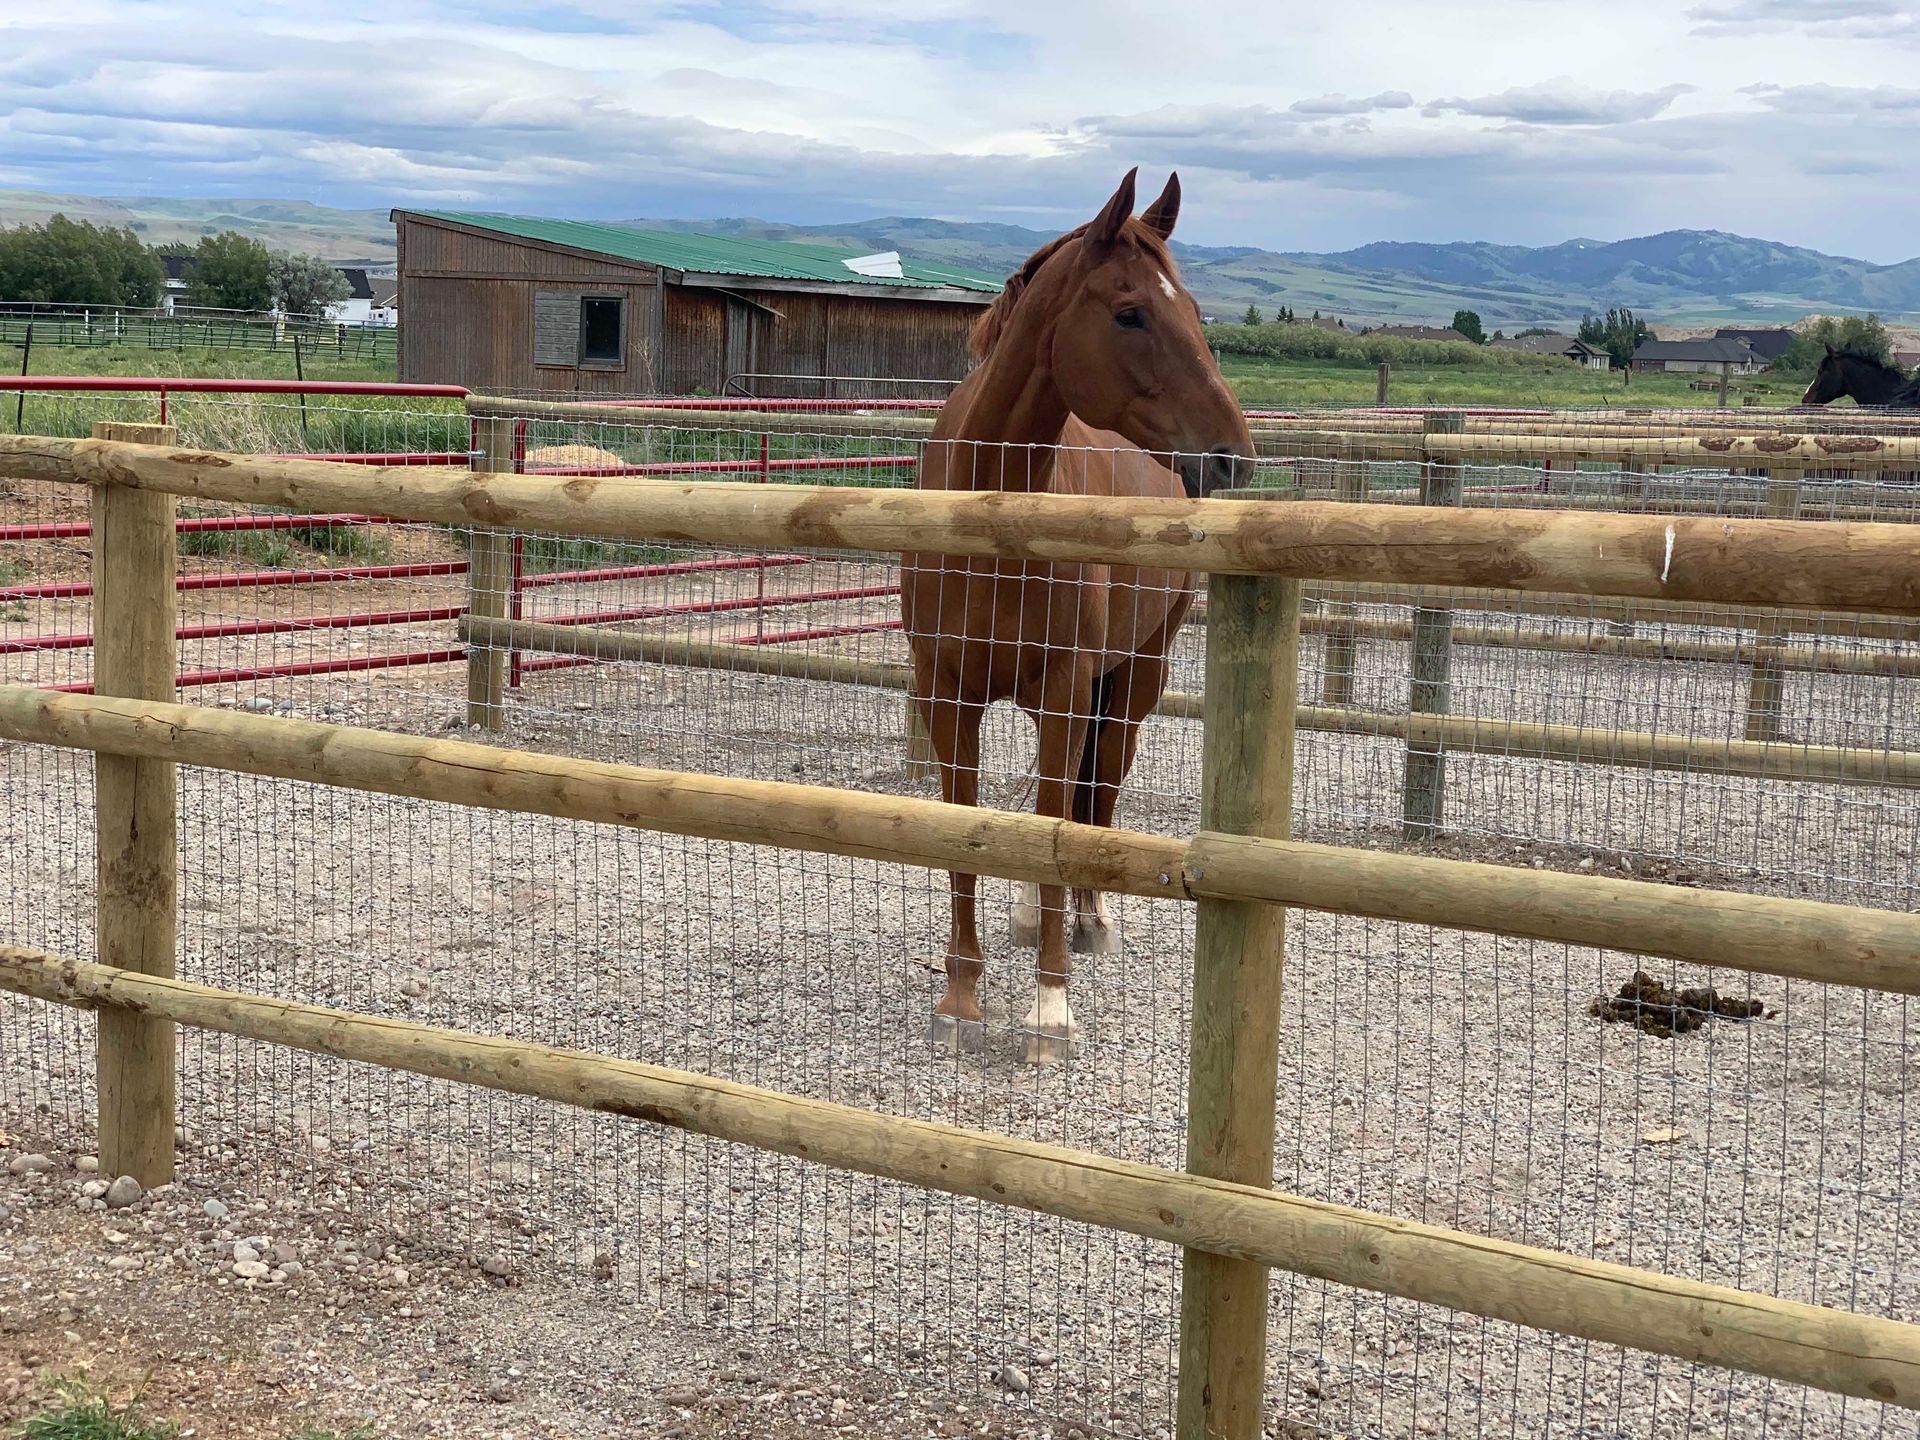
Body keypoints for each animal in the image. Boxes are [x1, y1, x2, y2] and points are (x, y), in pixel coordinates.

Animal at [900, 168, 1255, 1065]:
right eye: (1131, 312)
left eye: (1196, 311)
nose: (1232, 457)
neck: (992, 514)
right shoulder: (947, 694)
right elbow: (964, 835)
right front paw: (960, 998)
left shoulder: (1067, 688)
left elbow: (1059, 826)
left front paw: (1050, 1010)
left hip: (1135, 678)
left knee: (1098, 790)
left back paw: (1090, 920)